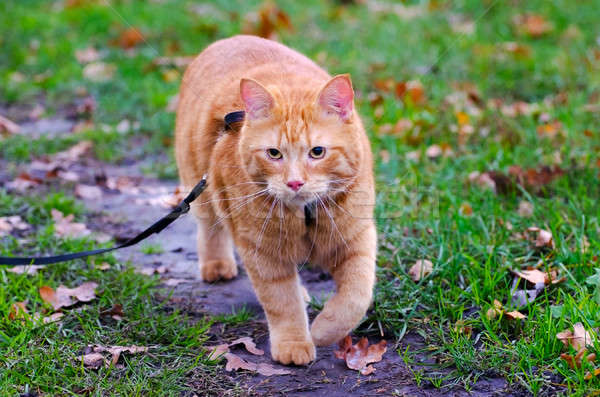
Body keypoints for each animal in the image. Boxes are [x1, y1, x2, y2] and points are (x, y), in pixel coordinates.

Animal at [176, 35, 378, 364]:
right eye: (274, 154)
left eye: (317, 152)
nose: (294, 182)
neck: (305, 213)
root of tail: (230, 38)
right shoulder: (263, 251)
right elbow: (282, 301)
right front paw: (294, 343)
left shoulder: (356, 239)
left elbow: (354, 297)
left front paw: (323, 331)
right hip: (202, 188)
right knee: (211, 228)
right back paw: (217, 265)